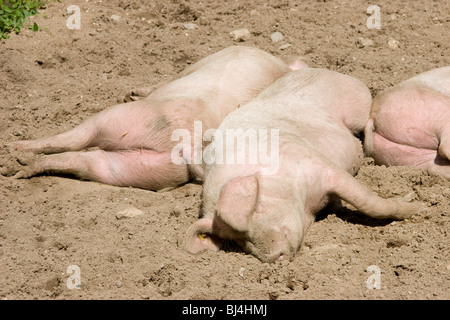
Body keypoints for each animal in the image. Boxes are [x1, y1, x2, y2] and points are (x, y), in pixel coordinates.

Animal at [0, 45, 296, 190]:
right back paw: (16, 171)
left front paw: (132, 92)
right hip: (137, 169)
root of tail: (185, 142)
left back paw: (14, 153)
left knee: (73, 140)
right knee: (79, 158)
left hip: (113, 120)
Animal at [183, 67, 422, 262]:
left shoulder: (319, 165)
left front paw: (418, 205)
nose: (273, 258)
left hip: (357, 106)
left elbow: (369, 203)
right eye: (236, 239)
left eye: (256, 210)